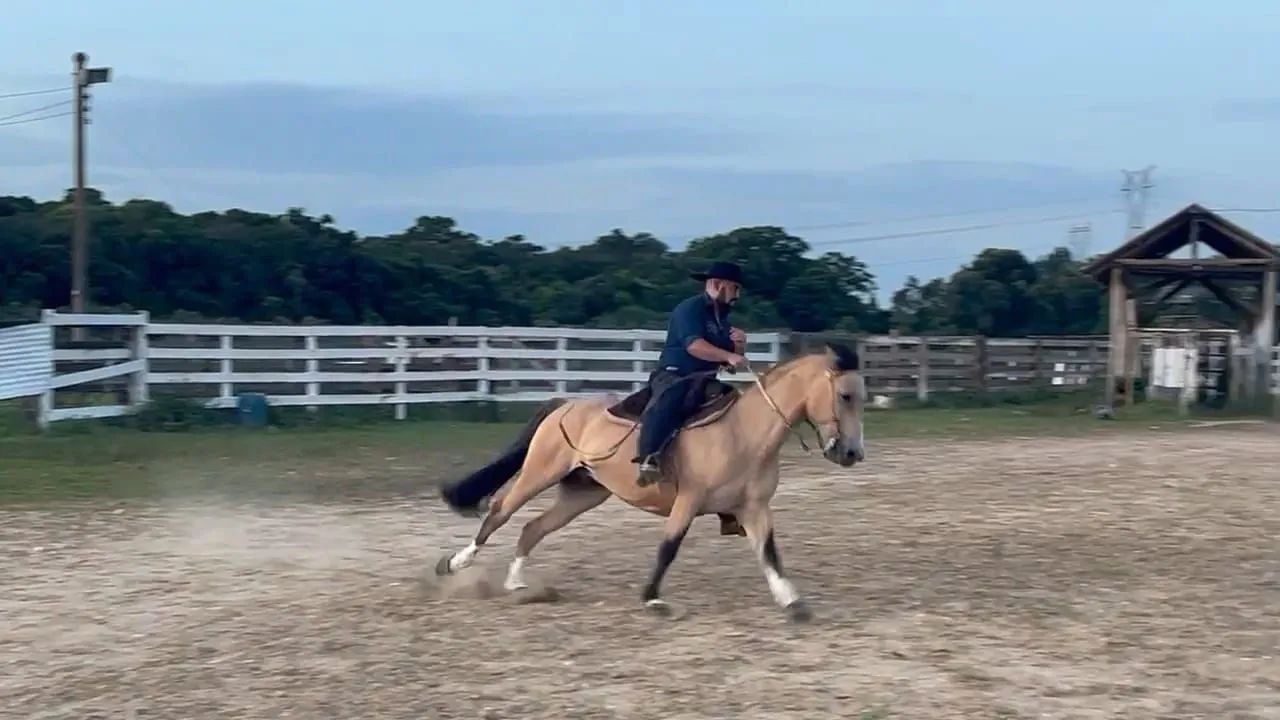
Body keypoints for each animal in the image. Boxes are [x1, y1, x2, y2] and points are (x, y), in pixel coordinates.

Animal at [433, 342, 867, 623]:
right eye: (845, 395)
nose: (852, 453)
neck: (743, 433)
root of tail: (566, 405)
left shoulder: (754, 508)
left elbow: (770, 554)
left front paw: (792, 602)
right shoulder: (688, 501)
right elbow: (668, 549)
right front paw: (653, 600)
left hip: (583, 493)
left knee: (533, 528)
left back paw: (517, 585)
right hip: (538, 473)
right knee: (499, 513)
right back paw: (455, 564)